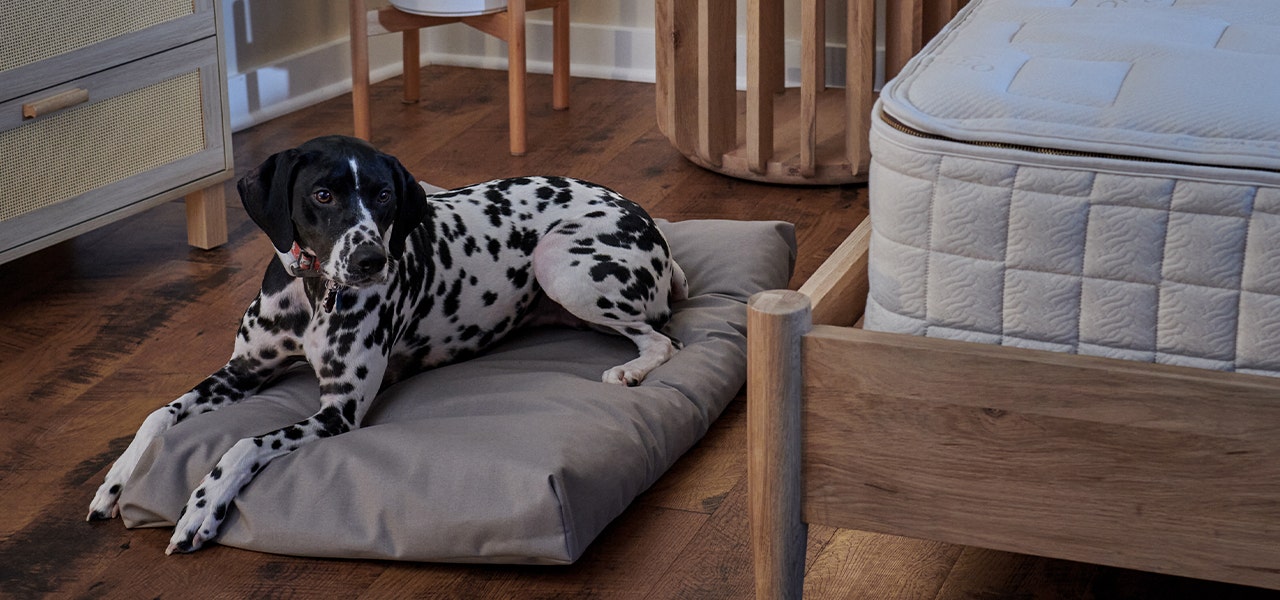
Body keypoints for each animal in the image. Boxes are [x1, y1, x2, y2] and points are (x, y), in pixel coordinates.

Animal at [87, 134, 691, 552]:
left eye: (382, 195)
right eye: (322, 194)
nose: (370, 261)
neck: (315, 293)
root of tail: (652, 228)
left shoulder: (339, 412)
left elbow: (242, 443)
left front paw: (202, 506)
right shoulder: (242, 372)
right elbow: (159, 414)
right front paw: (117, 481)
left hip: (562, 265)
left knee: (662, 340)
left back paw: (630, 370)